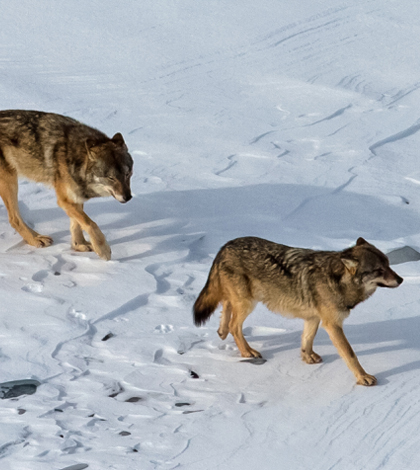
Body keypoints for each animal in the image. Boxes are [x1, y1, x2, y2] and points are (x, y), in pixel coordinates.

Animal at [0, 110, 133, 260]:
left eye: (127, 174)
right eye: (111, 177)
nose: (128, 197)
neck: (77, 158)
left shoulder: (76, 197)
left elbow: (77, 224)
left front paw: (79, 245)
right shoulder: (64, 200)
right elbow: (90, 223)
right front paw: (103, 249)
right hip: (9, 180)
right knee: (14, 218)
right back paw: (35, 239)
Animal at [194, 237, 404, 388]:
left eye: (389, 264)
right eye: (379, 270)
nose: (401, 279)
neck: (337, 280)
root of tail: (225, 246)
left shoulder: (313, 318)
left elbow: (307, 339)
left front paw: (307, 358)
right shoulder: (332, 325)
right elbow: (350, 354)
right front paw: (363, 377)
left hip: (243, 300)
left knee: (226, 307)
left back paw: (222, 332)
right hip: (248, 303)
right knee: (234, 325)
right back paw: (247, 352)